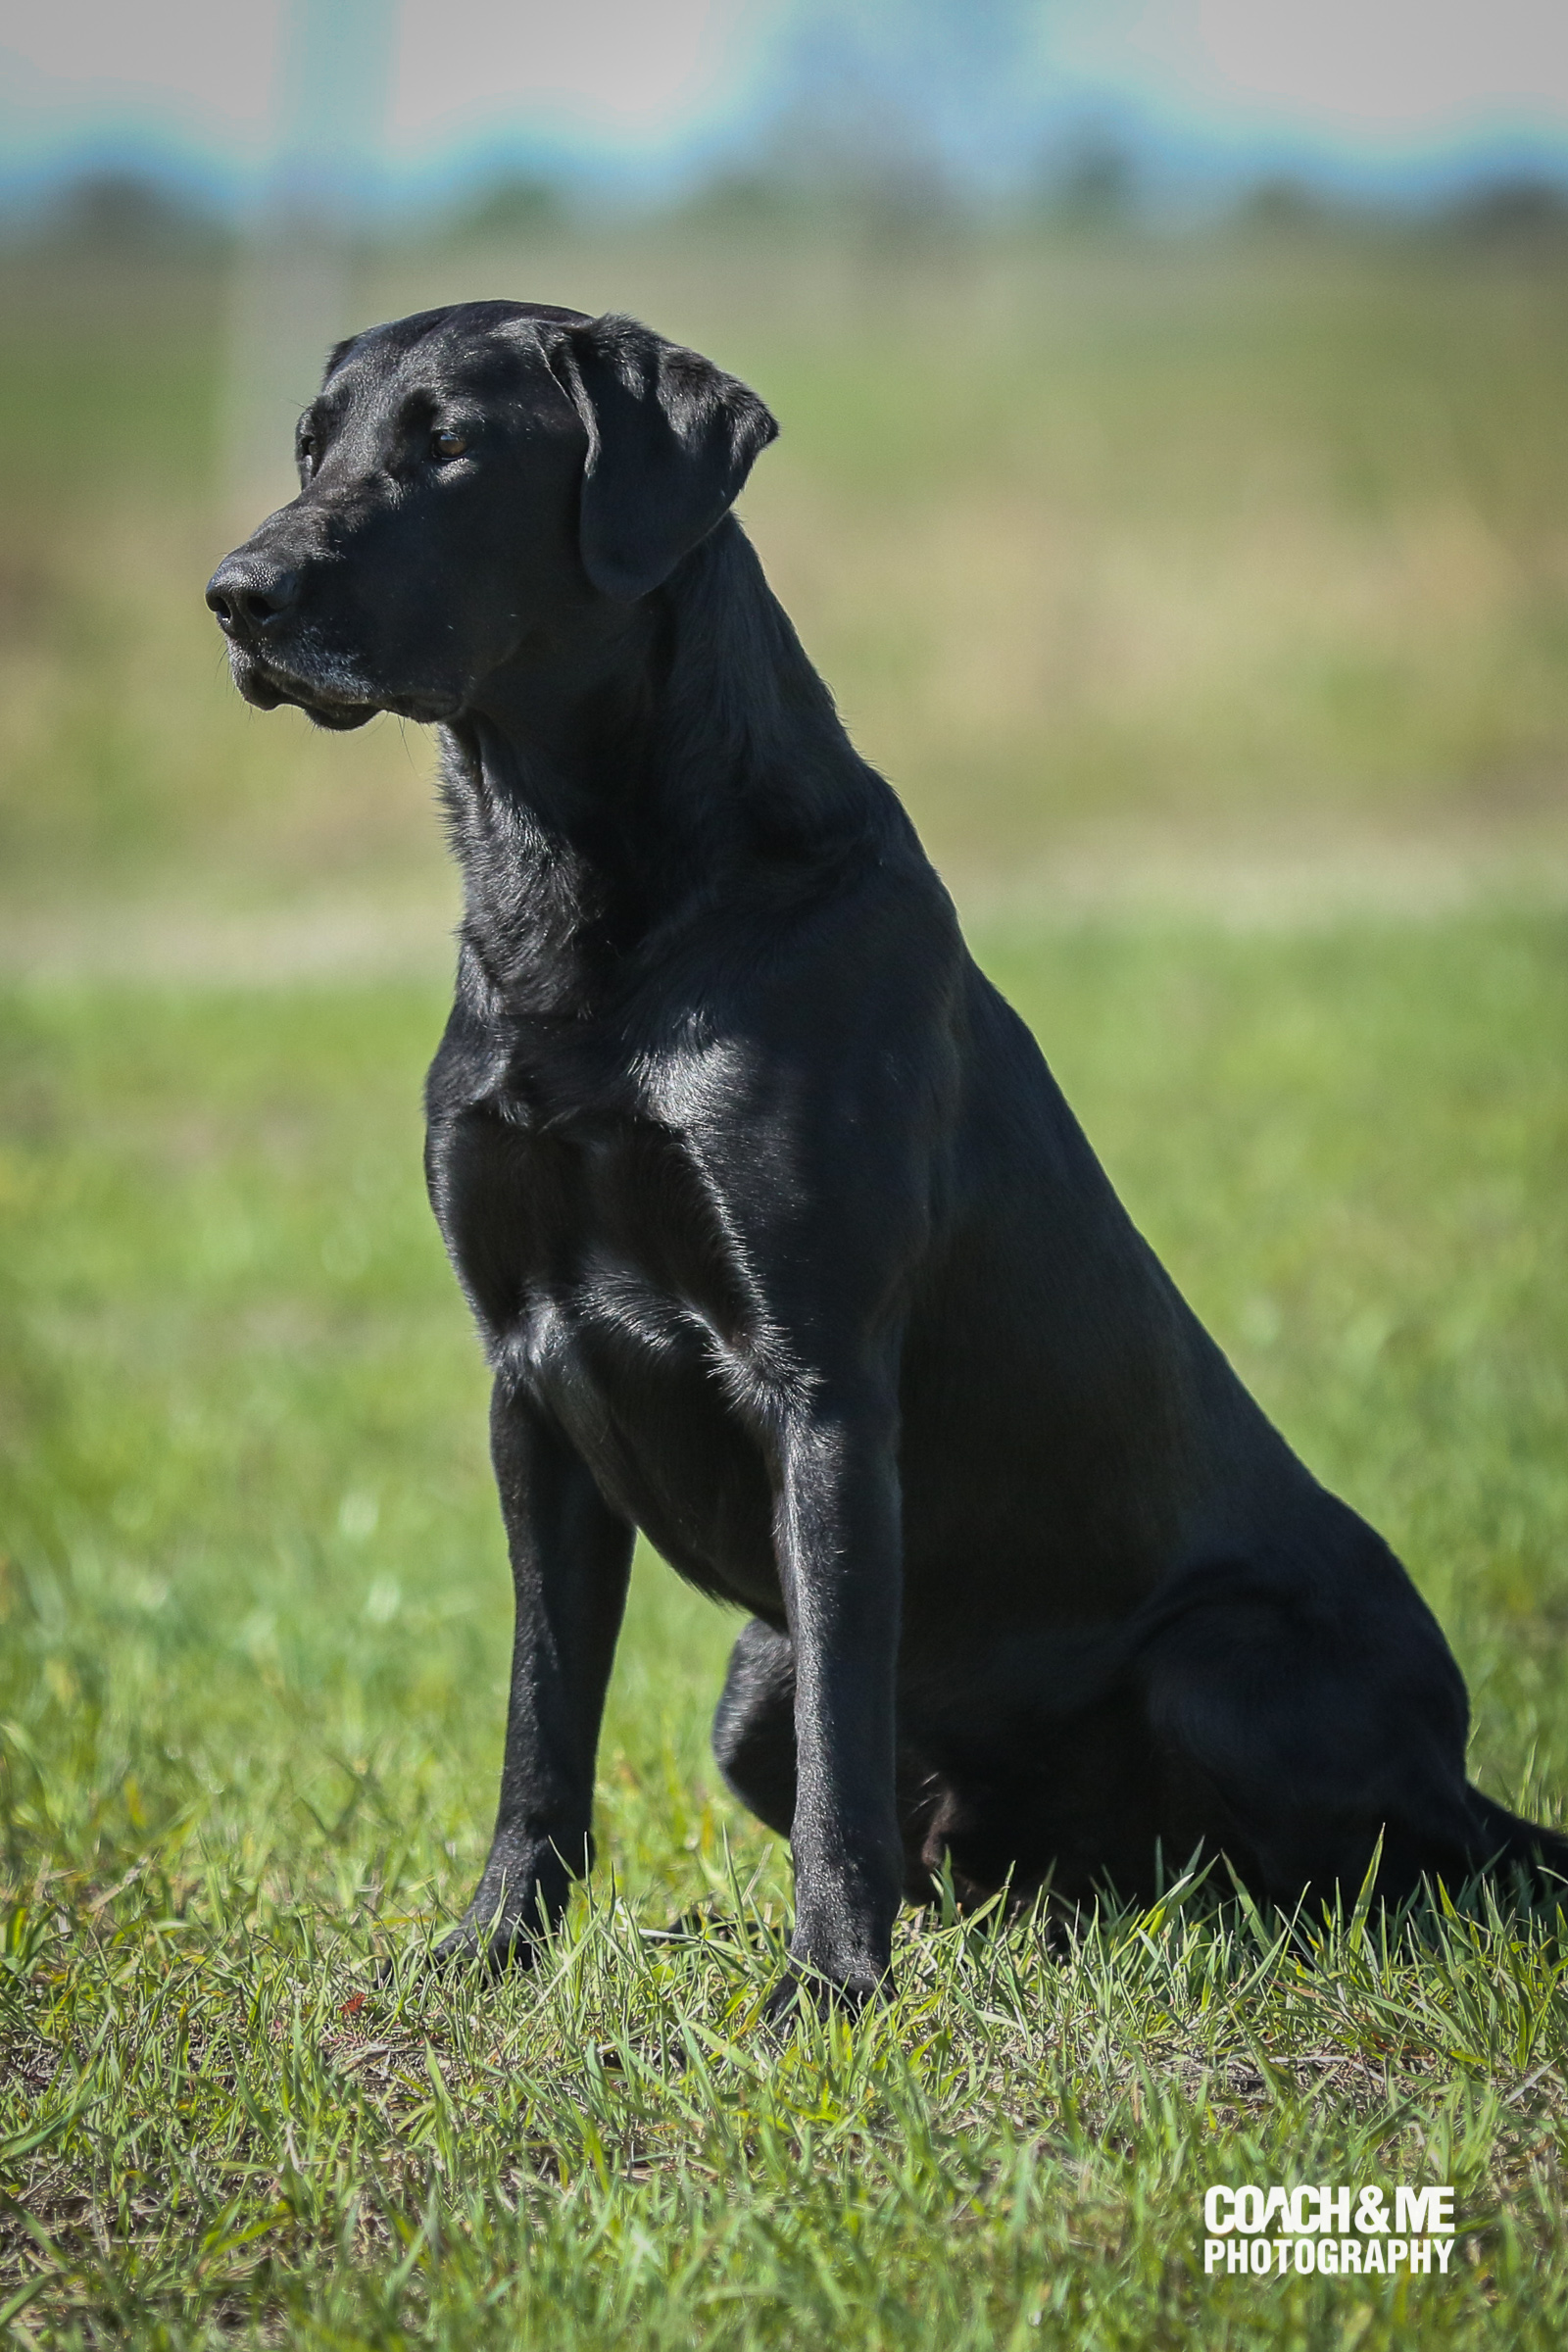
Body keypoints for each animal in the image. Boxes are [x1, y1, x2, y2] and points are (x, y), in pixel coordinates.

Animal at [211, 303, 1568, 2013]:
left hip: (1228, 1670)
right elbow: (542, 1720)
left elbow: (840, 1760)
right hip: (753, 1685)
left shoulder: (826, 1385)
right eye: (312, 443)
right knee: (1005, 1870)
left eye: (450, 444)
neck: (582, 896)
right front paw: (492, 1948)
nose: (234, 594)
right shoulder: (529, 1386)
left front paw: (826, 1992)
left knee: (1368, 1874)